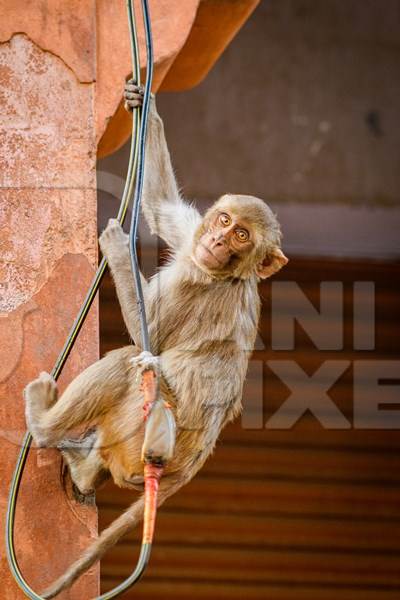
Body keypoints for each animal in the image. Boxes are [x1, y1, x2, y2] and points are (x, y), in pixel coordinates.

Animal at [24, 82, 288, 596]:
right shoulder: (192, 246)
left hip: (142, 430)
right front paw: (141, 101)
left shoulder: (195, 287)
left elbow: (150, 337)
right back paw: (83, 467)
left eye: (243, 237)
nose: (219, 243)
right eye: (224, 222)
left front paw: (116, 247)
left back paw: (43, 424)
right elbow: (164, 209)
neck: (222, 272)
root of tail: (188, 464)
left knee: (130, 363)